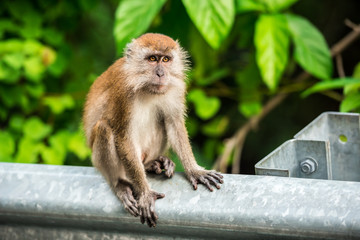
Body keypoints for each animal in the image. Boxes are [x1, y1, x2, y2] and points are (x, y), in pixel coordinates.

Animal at [83, 32, 224, 228]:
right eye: (152, 59)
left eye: (165, 59)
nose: (160, 73)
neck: (145, 87)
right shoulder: (123, 94)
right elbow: (123, 136)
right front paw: (145, 194)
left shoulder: (175, 88)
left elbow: (173, 123)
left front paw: (195, 171)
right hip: (102, 161)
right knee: (104, 129)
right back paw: (119, 184)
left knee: (161, 120)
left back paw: (152, 164)